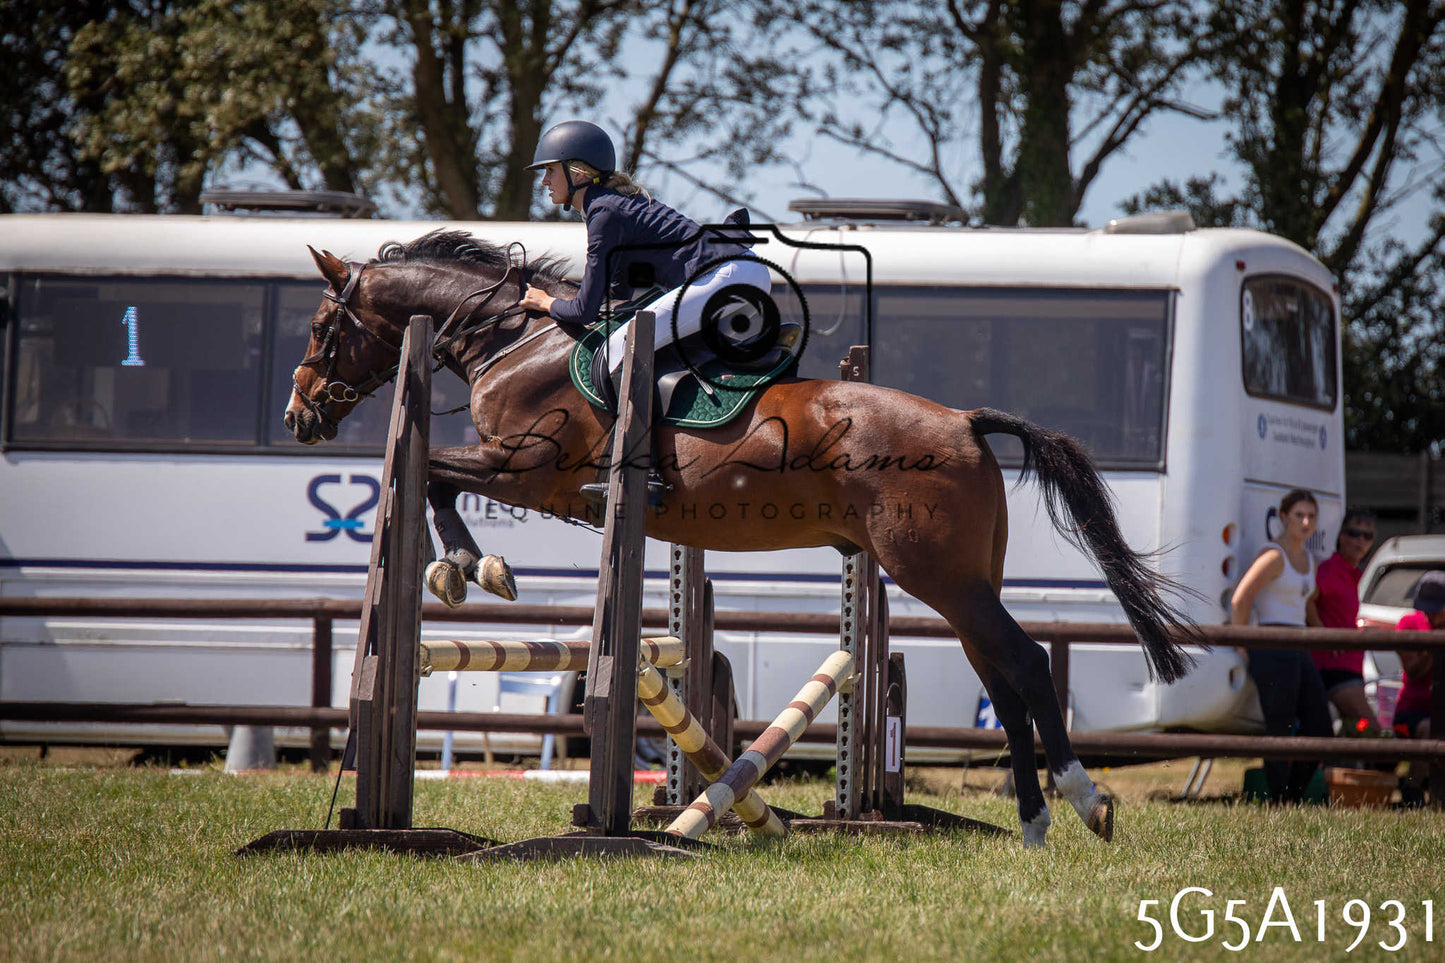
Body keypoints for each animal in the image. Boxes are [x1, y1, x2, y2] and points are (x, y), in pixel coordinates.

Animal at [284, 229, 1203, 847]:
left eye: (323, 326)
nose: (299, 416)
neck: (513, 341)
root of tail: (964, 421)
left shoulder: (528, 470)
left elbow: (433, 475)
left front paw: (473, 565)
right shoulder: (521, 474)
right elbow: (432, 475)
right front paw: (468, 564)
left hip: (939, 574)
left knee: (1025, 663)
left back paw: (1085, 802)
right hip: (962, 581)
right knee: (1001, 678)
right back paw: (1036, 822)